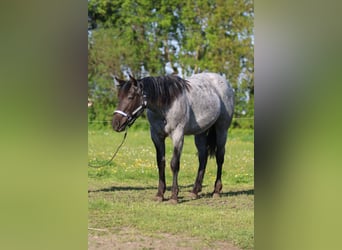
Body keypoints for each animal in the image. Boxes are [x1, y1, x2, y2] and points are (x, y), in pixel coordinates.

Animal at [113, 72, 234, 203]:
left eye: (130, 97)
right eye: (119, 97)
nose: (116, 124)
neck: (166, 105)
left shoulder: (178, 135)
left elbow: (174, 164)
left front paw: (174, 196)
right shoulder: (157, 136)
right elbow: (160, 163)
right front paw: (160, 194)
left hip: (222, 130)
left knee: (219, 158)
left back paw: (216, 191)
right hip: (200, 133)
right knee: (203, 158)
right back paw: (195, 191)